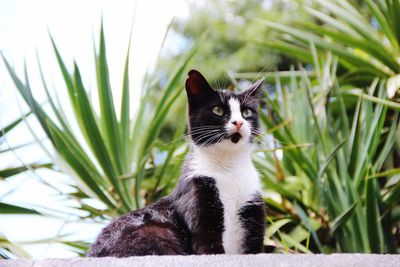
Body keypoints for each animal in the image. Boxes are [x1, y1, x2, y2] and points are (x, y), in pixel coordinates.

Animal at [86, 70, 266, 258]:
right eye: (218, 110)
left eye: (246, 112)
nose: (239, 122)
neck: (228, 168)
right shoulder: (197, 196)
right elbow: (208, 245)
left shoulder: (252, 206)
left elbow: (254, 247)